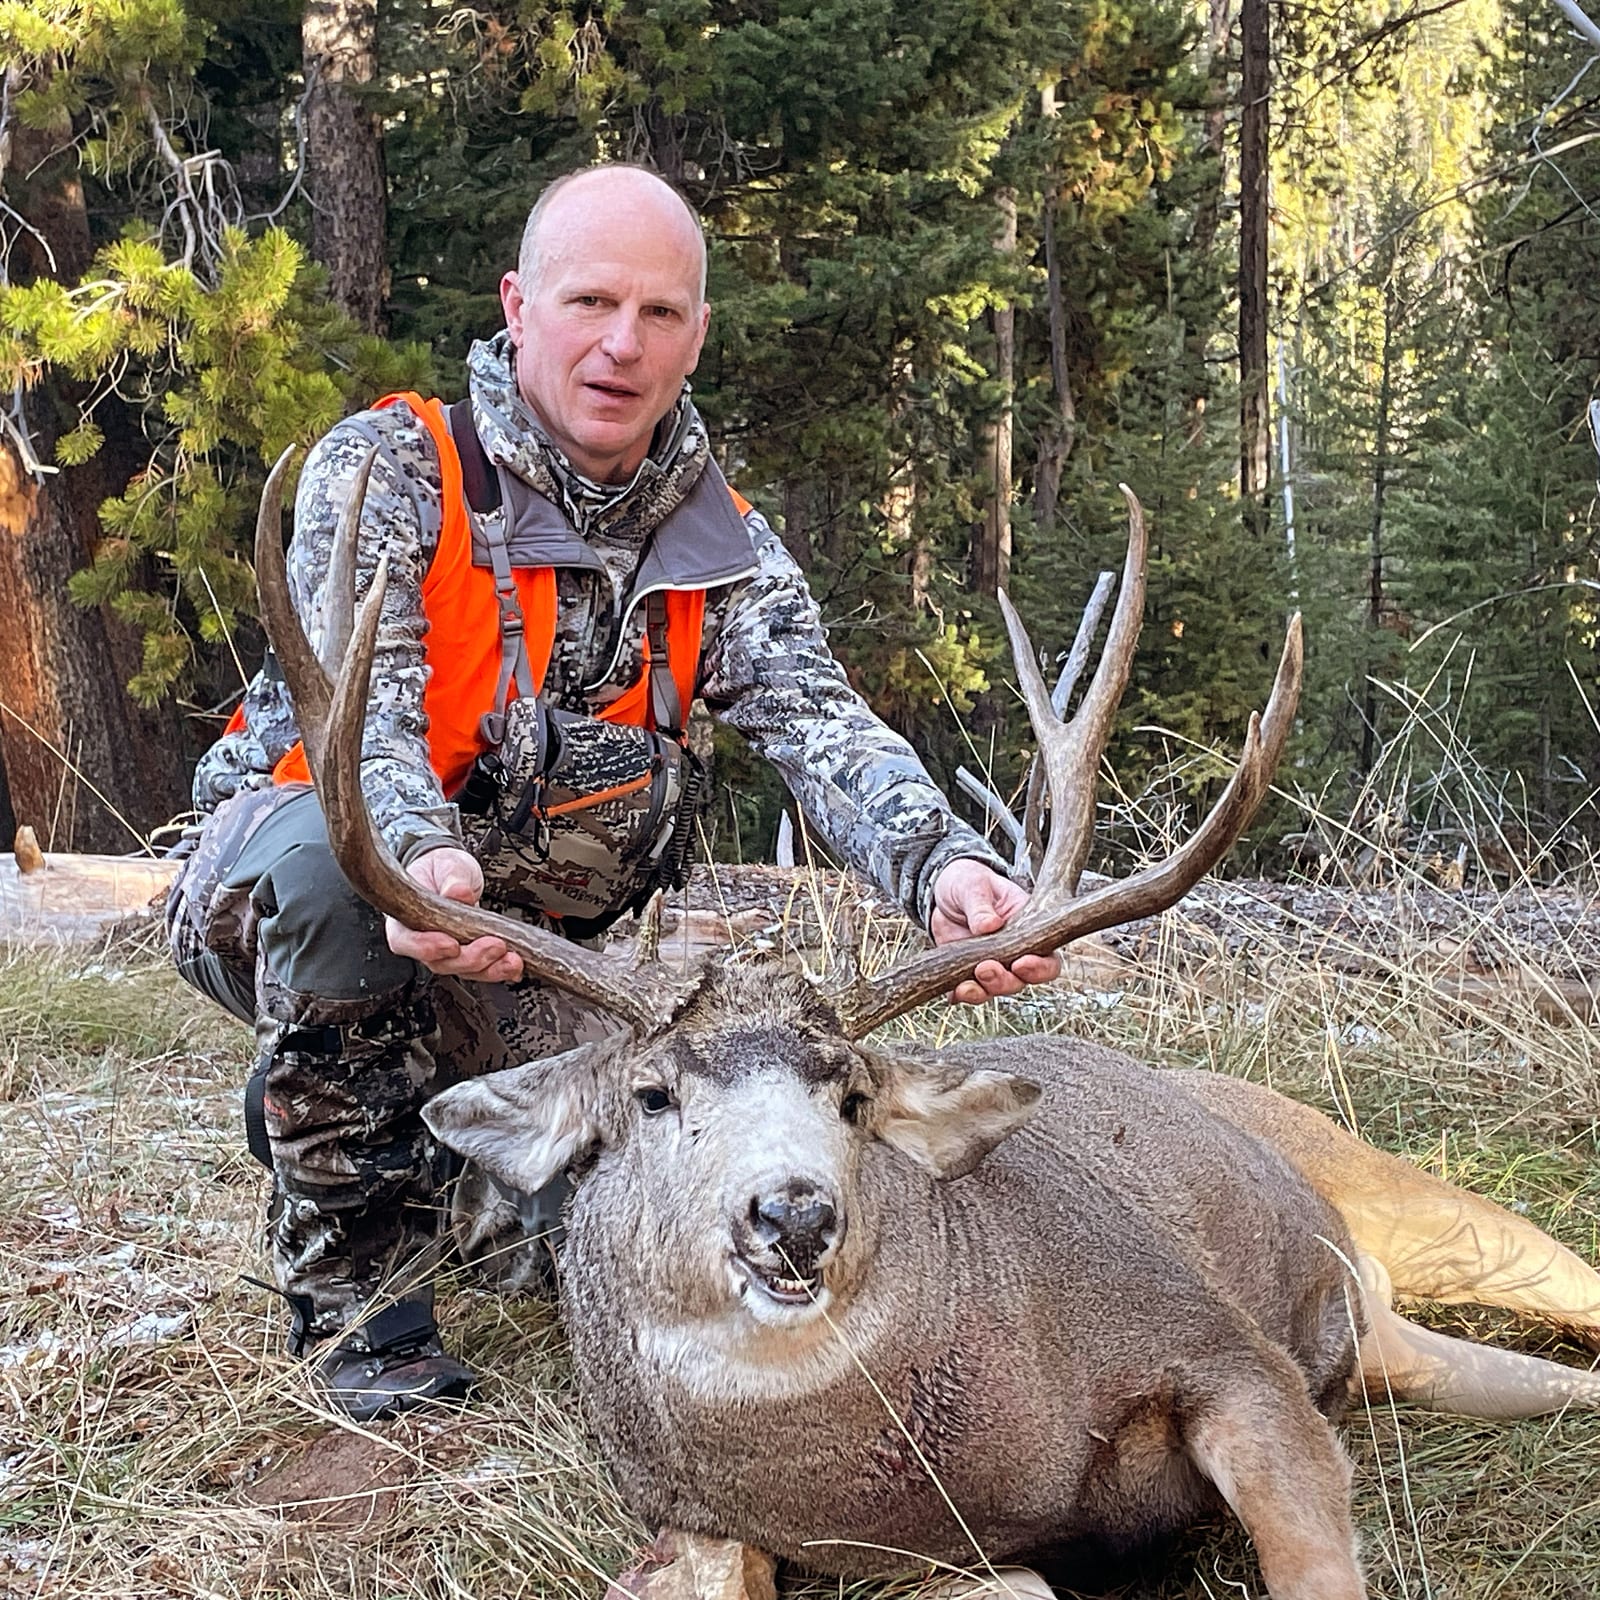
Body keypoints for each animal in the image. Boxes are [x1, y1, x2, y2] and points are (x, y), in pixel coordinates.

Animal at [254, 449, 1600, 1600]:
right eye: (651, 1095)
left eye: (851, 1094)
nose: (792, 1212)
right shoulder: (800, 1535)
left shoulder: (1225, 1351)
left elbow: (1312, 1556)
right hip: (1403, 1339)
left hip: (1391, 1189)